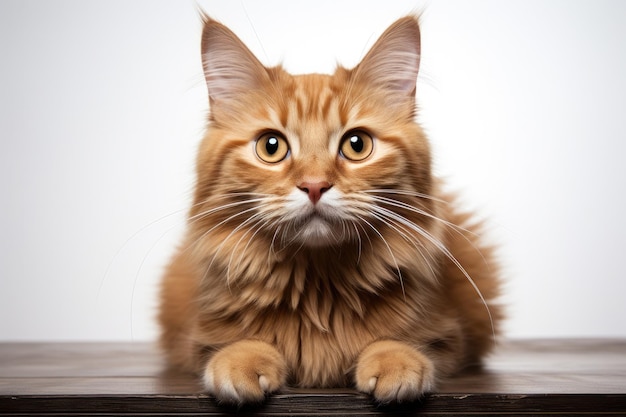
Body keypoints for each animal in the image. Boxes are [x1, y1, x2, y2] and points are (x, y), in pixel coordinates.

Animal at [160, 13, 502, 404]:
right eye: (271, 146)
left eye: (356, 144)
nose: (314, 186)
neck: (317, 289)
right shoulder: (192, 339)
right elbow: (231, 344)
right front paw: (241, 359)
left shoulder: (452, 336)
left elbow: (403, 343)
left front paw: (396, 361)